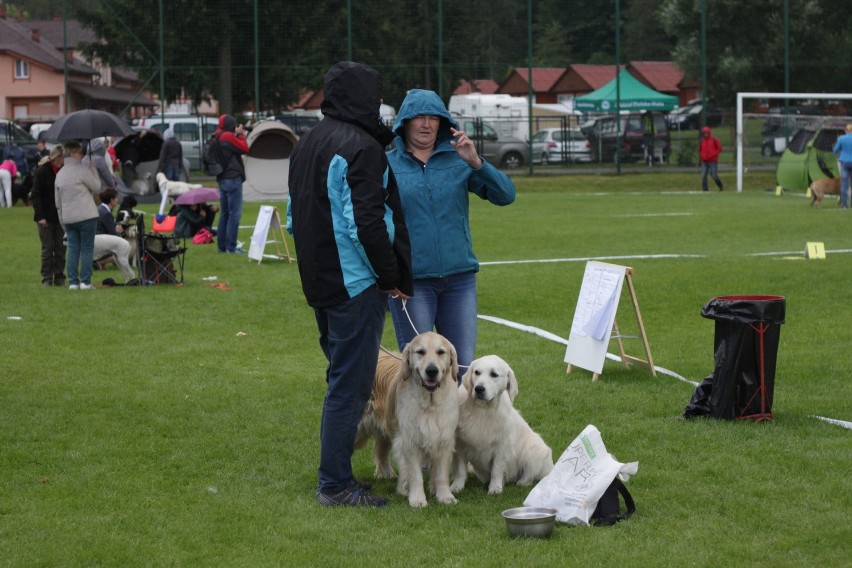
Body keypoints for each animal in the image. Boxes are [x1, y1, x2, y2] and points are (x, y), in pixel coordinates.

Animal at [352, 330, 460, 508]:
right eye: (420, 352)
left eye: (441, 352)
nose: (432, 370)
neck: (429, 404)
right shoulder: (410, 440)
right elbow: (415, 475)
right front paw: (416, 498)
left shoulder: (444, 438)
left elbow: (441, 474)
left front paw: (445, 496)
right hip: (359, 430)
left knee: (381, 451)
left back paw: (386, 473)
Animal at [450, 358, 556, 494]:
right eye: (477, 372)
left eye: (494, 374)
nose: (479, 389)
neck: (483, 409)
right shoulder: (459, 443)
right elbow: (460, 470)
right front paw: (456, 487)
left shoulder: (501, 446)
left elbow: (497, 469)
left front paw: (495, 488)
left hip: (535, 449)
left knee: (530, 475)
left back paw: (522, 482)